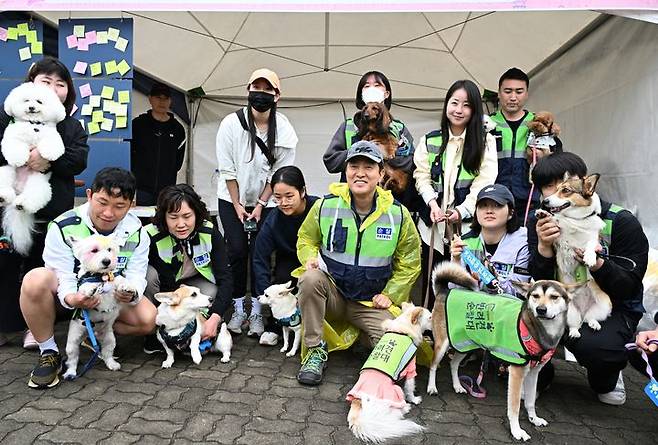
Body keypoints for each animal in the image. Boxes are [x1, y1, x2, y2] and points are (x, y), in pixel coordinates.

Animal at [0, 82, 66, 255]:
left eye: (39, 102)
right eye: (26, 100)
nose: (31, 107)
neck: (33, 125)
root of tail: (18, 189)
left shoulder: (51, 135)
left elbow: (53, 144)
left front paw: (50, 153)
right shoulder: (13, 136)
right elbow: (14, 146)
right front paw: (18, 158)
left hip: (38, 182)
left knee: (34, 196)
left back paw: (21, 204)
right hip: (6, 170)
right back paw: (3, 196)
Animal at [61, 232, 138, 378]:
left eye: (109, 249)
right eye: (94, 250)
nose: (107, 261)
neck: (101, 276)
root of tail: (92, 334)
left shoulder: (114, 278)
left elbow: (122, 280)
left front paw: (128, 287)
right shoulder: (82, 285)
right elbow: (84, 288)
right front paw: (90, 289)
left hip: (109, 338)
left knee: (107, 353)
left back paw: (112, 364)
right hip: (73, 341)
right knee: (72, 359)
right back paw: (71, 373)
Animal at [344, 300, 430, 442]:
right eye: (430, 318)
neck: (403, 328)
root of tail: (358, 402)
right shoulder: (411, 369)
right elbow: (410, 387)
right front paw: (414, 399)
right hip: (395, 391)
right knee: (398, 411)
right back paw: (406, 407)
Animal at [426, 262, 576, 438]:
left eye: (554, 297)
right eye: (535, 296)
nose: (541, 309)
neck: (535, 328)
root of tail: (445, 290)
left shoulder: (534, 373)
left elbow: (531, 401)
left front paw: (534, 419)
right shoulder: (517, 372)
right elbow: (514, 407)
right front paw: (517, 430)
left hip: (465, 343)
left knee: (454, 364)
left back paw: (458, 386)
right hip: (443, 344)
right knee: (433, 365)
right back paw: (432, 387)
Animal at [532, 173, 608, 336]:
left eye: (566, 190)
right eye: (556, 189)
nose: (545, 202)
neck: (576, 221)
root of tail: (583, 312)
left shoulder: (594, 238)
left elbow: (591, 245)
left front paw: (590, 257)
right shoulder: (559, 242)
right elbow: (556, 220)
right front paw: (544, 214)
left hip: (605, 305)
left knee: (590, 318)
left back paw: (594, 323)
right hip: (569, 312)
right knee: (574, 324)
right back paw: (574, 332)